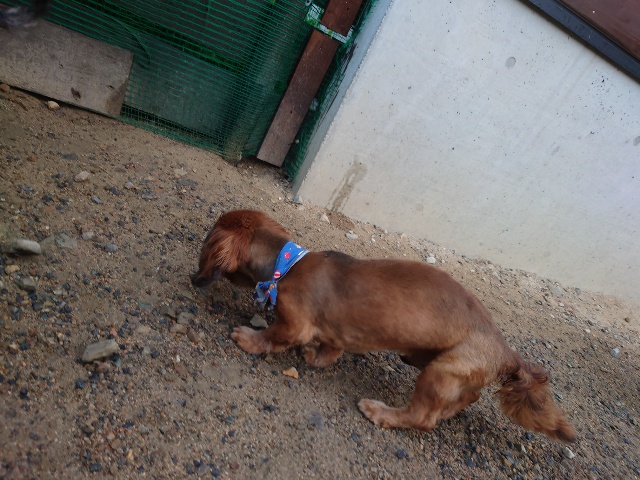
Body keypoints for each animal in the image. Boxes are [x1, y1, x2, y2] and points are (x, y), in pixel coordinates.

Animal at [192, 209, 576, 443]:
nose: (195, 278)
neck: (285, 266)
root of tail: (506, 351)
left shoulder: (293, 323)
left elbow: (273, 336)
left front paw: (249, 339)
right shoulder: (337, 331)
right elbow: (328, 350)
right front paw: (315, 356)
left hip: (439, 371)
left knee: (422, 417)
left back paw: (380, 412)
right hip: (431, 362)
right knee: (467, 397)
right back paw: (449, 409)